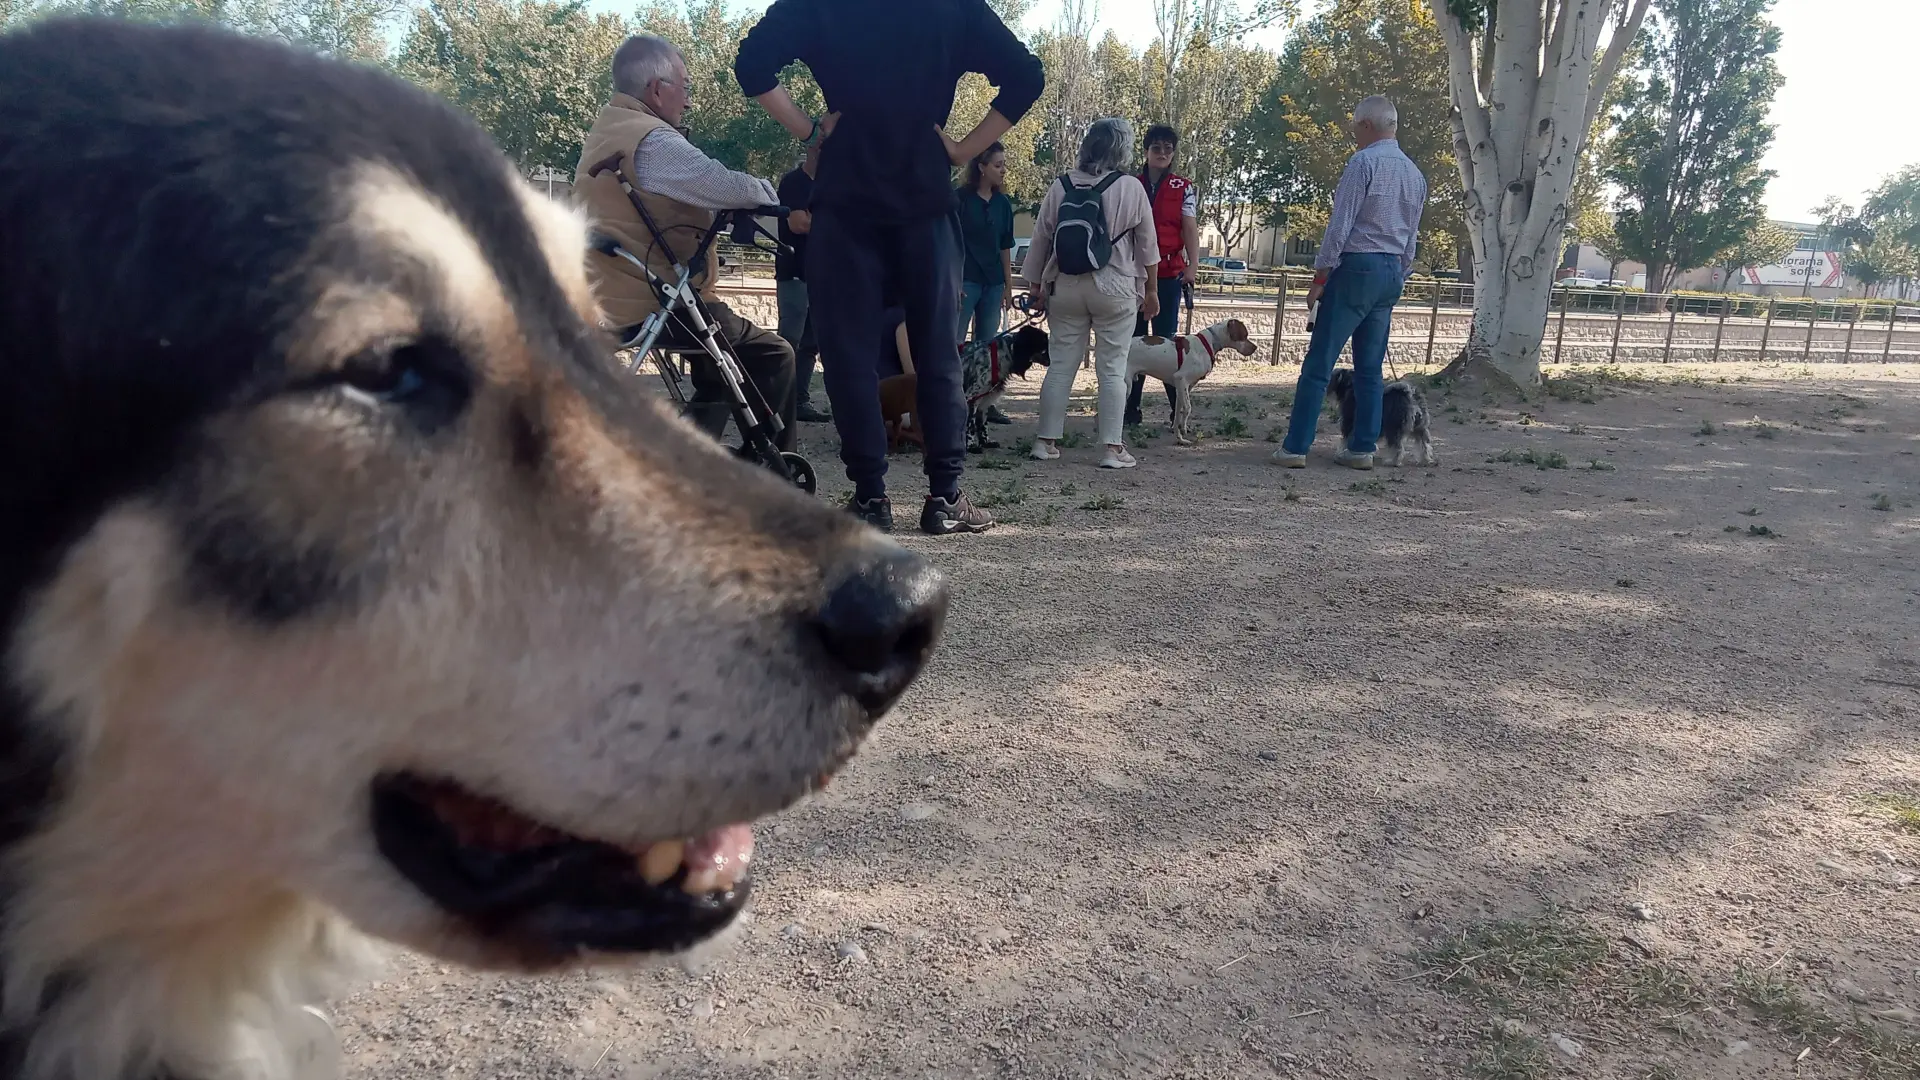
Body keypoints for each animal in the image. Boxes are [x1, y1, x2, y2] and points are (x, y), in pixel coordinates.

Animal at [1121, 315, 1259, 441]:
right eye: (1244, 335)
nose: (1255, 347)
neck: (1209, 343)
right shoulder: (1181, 379)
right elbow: (1188, 408)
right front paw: (1182, 431)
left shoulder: (1182, 387)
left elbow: (1179, 411)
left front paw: (1179, 435)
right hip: (1126, 385)